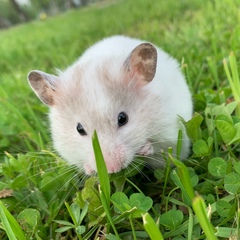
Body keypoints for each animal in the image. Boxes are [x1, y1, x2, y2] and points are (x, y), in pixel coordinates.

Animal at [27, 35, 193, 174]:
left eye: (123, 118)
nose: (112, 169)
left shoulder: (171, 132)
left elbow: (162, 147)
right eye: (79, 129)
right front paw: (90, 170)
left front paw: (145, 148)